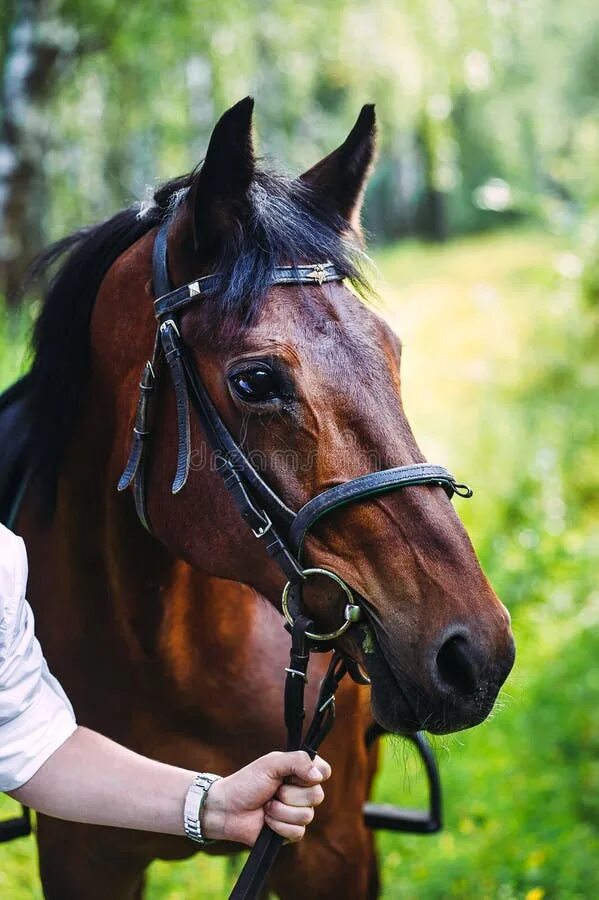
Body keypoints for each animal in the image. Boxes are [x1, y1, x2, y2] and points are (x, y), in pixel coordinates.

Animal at [5, 95, 516, 896]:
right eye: (256, 380)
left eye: (393, 352)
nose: (474, 653)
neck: (169, 653)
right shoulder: (82, 856)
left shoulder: (332, 847)